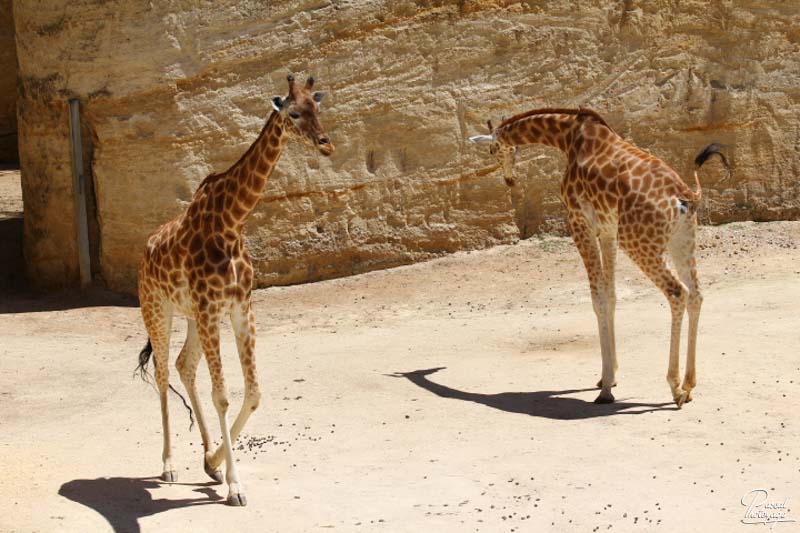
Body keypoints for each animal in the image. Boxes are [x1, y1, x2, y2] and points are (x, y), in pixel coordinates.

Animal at [136, 75, 332, 502]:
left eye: (318, 107)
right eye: (294, 114)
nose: (326, 144)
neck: (230, 222)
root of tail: (145, 249)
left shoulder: (240, 307)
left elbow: (253, 392)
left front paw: (215, 464)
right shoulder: (213, 310)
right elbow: (223, 395)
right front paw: (235, 485)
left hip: (192, 315)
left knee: (184, 365)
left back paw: (207, 456)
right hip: (157, 307)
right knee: (163, 371)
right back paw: (169, 464)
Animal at [468, 108, 732, 408]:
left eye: (493, 150)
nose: (509, 180)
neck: (567, 137)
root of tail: (685, 196)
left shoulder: (578, 221)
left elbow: (598, 300)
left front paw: (606, 387)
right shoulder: (607, 229)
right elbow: (612, 296)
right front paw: (611, 375)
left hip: (639, 243)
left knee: (677, 293)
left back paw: (674, 387)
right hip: (682, 241)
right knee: (696, 295)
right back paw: (689, 385)